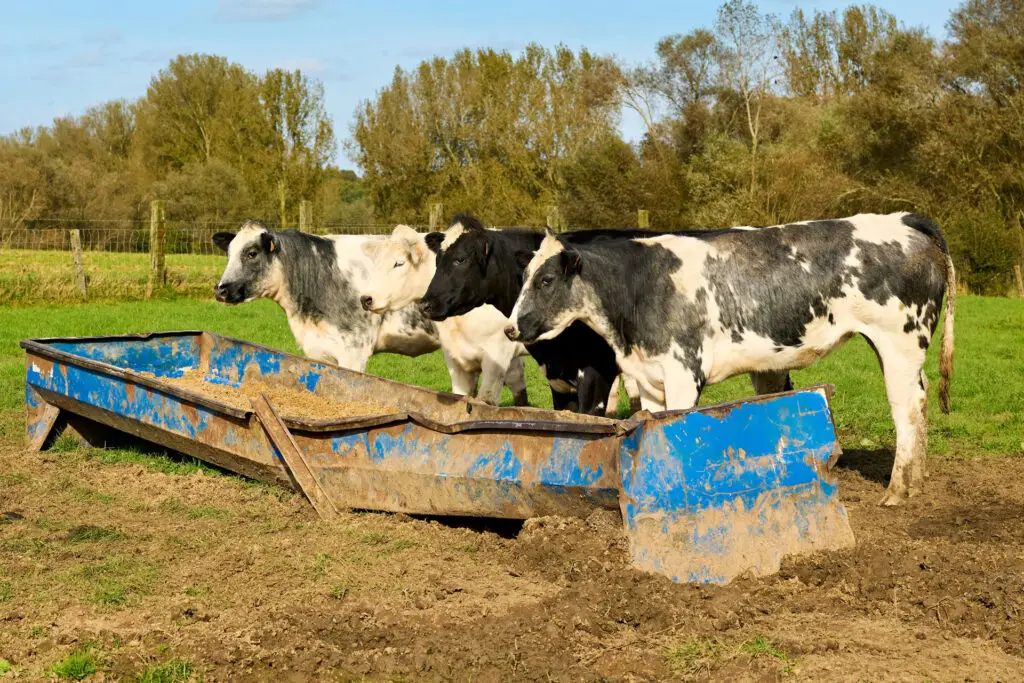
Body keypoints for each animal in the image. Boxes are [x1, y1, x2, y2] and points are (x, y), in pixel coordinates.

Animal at [505, 212, 956, 505]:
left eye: (546, 280)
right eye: (523, 277)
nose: (511, 328)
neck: (640, 287)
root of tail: (904, 217)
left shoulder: (683, 371)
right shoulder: (648, 377)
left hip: (898, 341)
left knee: (905, 407)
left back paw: (898, 491)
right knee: (921, 398)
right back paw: (917, 481)